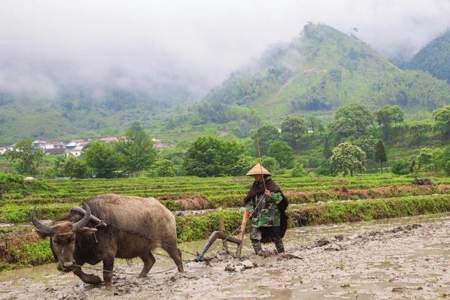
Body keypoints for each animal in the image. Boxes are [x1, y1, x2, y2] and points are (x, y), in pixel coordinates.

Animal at [31, 195, 185, 286]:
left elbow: (106, 276)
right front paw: (94, 280)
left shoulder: (109, 255)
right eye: (55, 241)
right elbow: (77, 271)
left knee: (177, 256)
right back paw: (140, 277)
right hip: (141, 247)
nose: (66, 265)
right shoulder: (77, 259)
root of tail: (167, 212)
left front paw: (103, 284)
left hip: (169, 242)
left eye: (73, 238)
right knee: (150, 261)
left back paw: (181, 273)